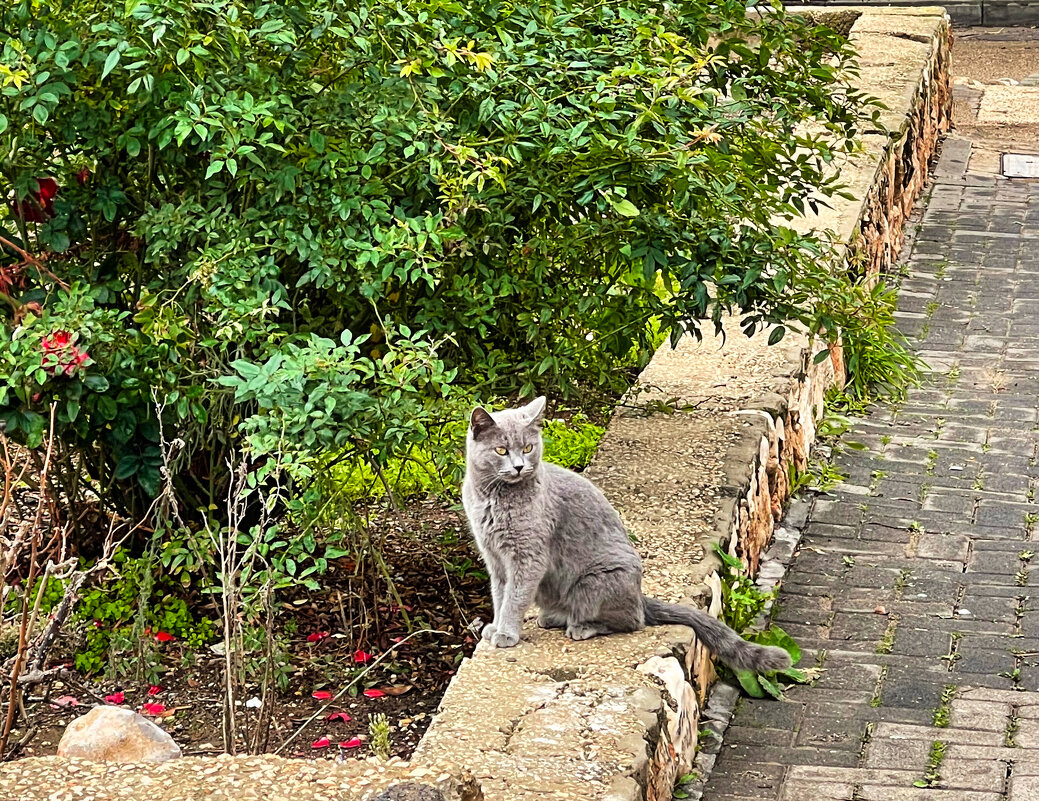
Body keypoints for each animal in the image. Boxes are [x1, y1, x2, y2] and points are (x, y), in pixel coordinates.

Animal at [459, 396, 789, 673]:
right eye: (501, 450)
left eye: (528, 448)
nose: (518, 466)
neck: (493, 498)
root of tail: (640, 595)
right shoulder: (494, 557)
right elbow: (500, 594)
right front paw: (495, 626)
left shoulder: (527, 557)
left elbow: (515, 598)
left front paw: (506, 632)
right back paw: (552, 617)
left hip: (594, 582)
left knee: (633, 621)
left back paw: (582, 626)